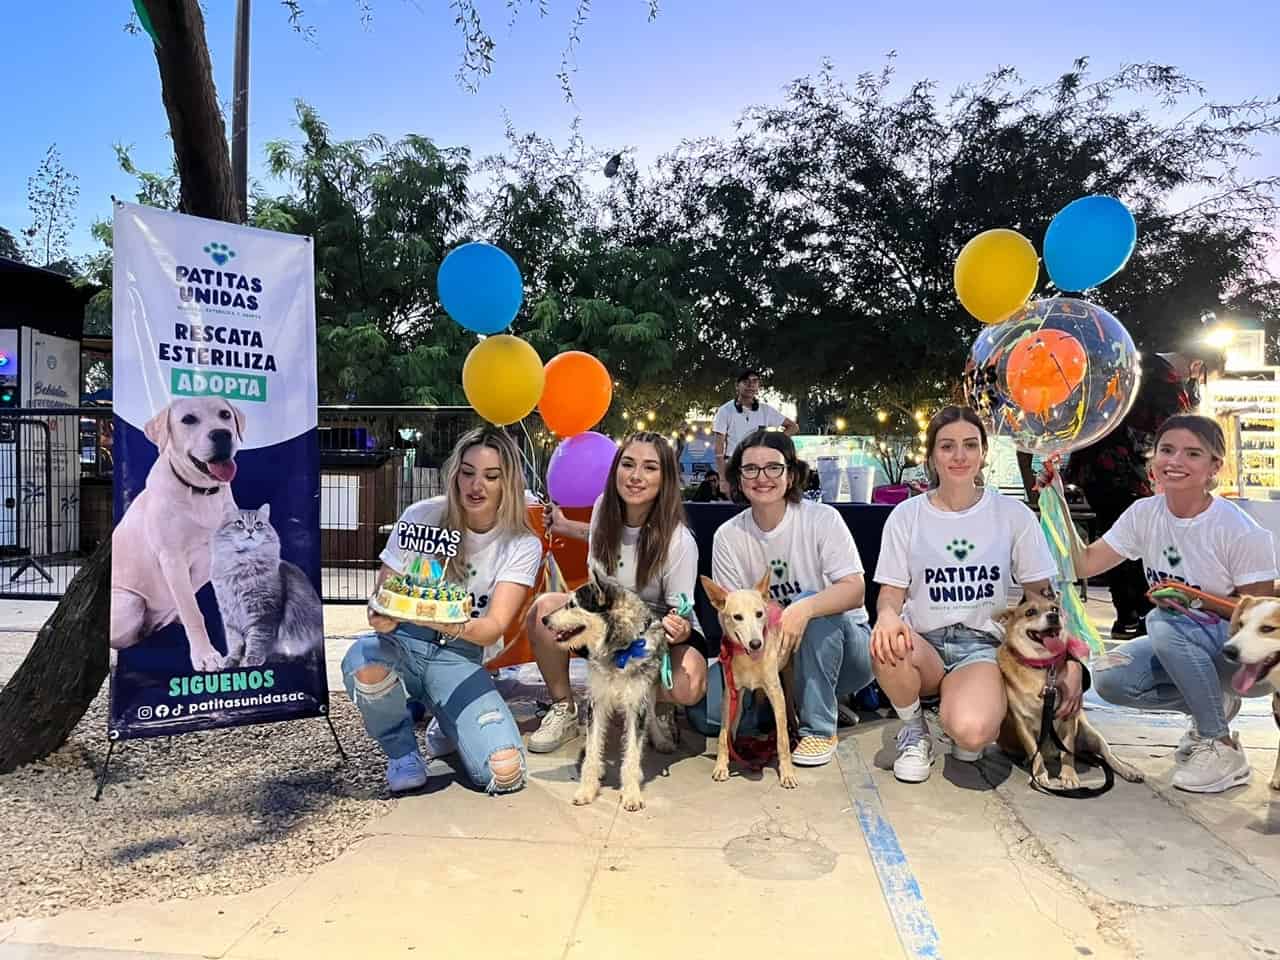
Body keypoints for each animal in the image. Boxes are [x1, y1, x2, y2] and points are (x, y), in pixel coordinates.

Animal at [115, 394, 247, 670]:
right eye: (188, 419)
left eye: (225, 415)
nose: (222, 434)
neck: (201, 493)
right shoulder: (172, 558)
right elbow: (193, 612)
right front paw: (205, 655)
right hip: (129, 602)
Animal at [706, 570, 793, 788]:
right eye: (737, 617)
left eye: (759, 614)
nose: (756, 644)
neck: (749, 659)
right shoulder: (731, 694)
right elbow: (724, 734)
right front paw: (722, 764)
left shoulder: (776, 693)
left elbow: (782, 739)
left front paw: (787, 772)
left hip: (788, 675)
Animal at [993, 593, 1146, 788]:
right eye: (1030, 612)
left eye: (1054, 609)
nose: (1053, 616)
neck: (1043, 667)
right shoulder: (1023, 724)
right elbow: (1035, 752)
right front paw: (1039, 774)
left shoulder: (1069, 719)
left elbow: (1067, 752)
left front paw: (1069, 776)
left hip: (1090, 734)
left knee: (1108, 755)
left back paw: (1128, 770)